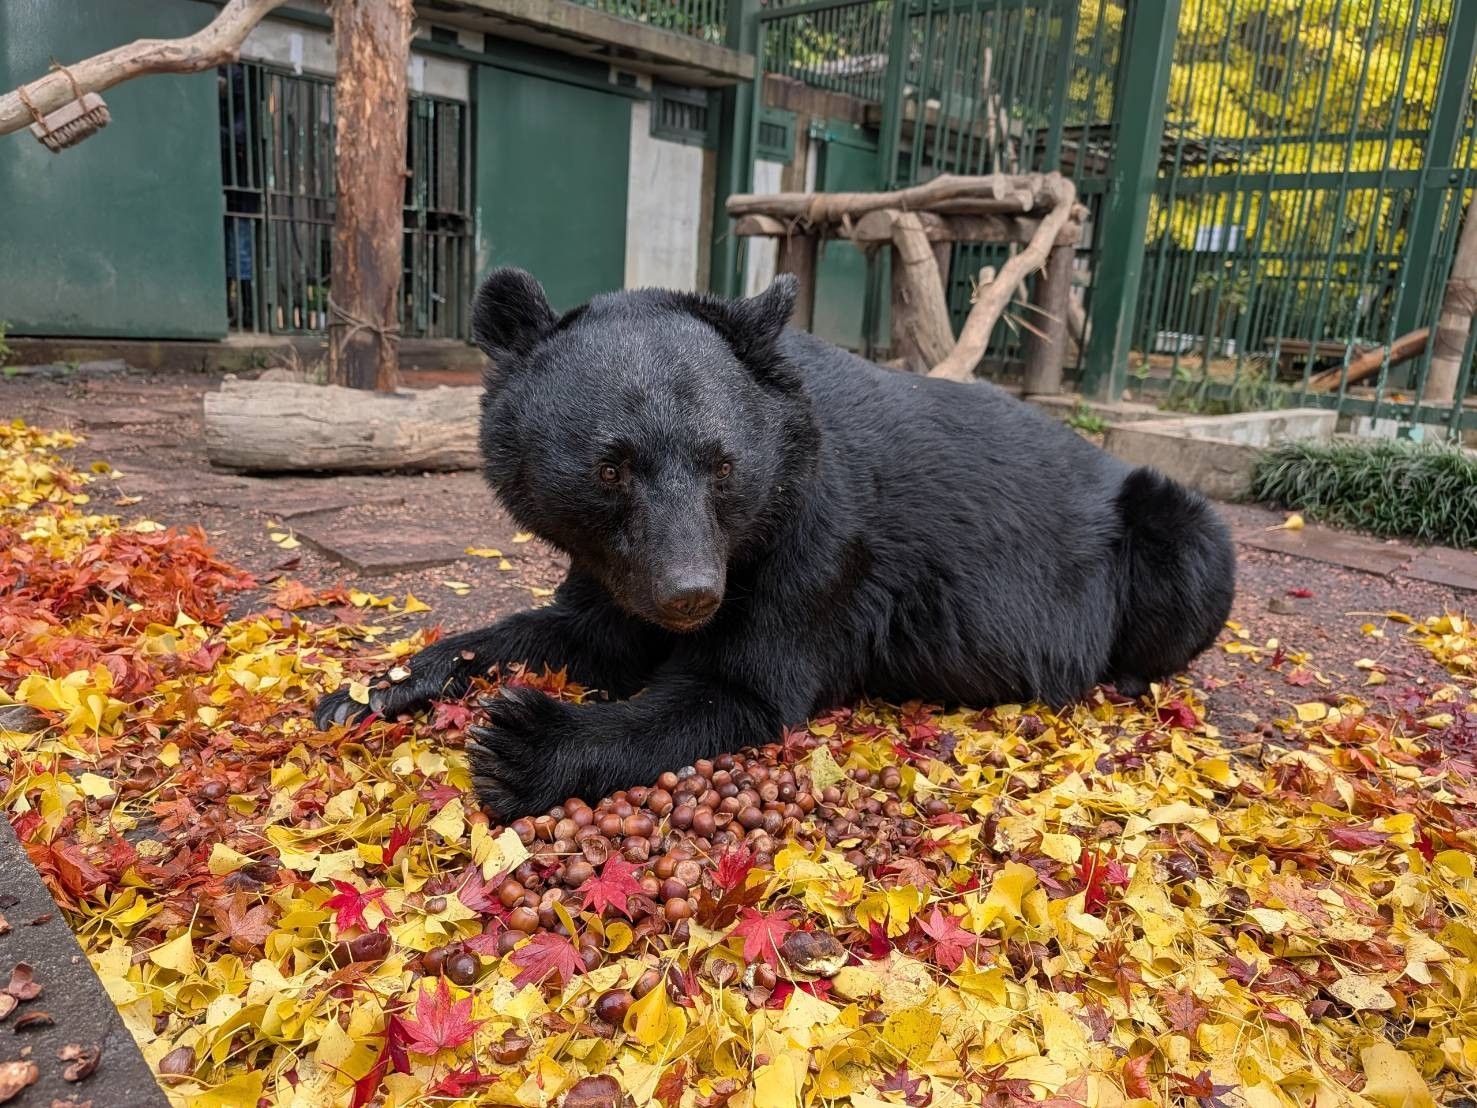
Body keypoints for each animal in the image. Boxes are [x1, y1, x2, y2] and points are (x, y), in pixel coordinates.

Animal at [316, 268, 1236, 820]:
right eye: (611, 469)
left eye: (722, 464)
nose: (690, 593)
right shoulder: (617, 561)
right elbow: (575, 629)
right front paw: (371, 689)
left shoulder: (818, 545)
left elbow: (741, 685)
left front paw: (520, 740)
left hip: (1168, 532)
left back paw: (1118, 676)